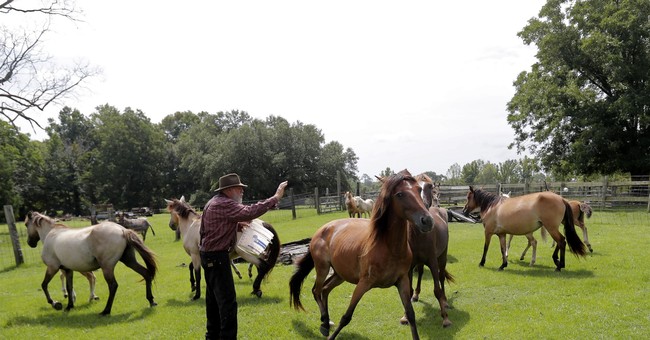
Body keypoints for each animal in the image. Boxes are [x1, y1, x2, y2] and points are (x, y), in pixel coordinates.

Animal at [25, 211, 158, 314]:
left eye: (26, 224)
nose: (30, 243)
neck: (51, 233)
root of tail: (122, 230)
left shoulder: (52, 267)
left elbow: (44, 285)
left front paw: (55, 303)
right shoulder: (68, 270)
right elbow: (69, 287)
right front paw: (69, 306)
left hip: (107, 267)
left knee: (113, 285)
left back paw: (106, 311)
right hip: (129, 261)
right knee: (146, 273)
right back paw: (151, 301)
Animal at [288, 170, 430, 340]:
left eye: (419, 189)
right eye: (400, 194)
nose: (427, 220)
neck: (389, 248)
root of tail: (321, 230)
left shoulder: (402, 281)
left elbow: (411, 315)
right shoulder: (363, 284)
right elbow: (346, 317)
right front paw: (332, 336)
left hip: (340, 274)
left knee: (325, 290)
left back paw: (326, 322)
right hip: (322, 268)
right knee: (316, 291)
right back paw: (324, 323)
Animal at [460, 187, 588, 272]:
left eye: (468, 197)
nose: (464, 210)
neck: (493, 206)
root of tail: (561, 199)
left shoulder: (488, 232)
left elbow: (485, 248)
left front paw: (482, 262)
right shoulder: (502, 234)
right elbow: (503, 249)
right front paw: (503, 265)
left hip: (551, 228)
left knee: (561, 241)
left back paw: (559, 265)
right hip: (552, 228)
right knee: (560, 241)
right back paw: (557, 261)